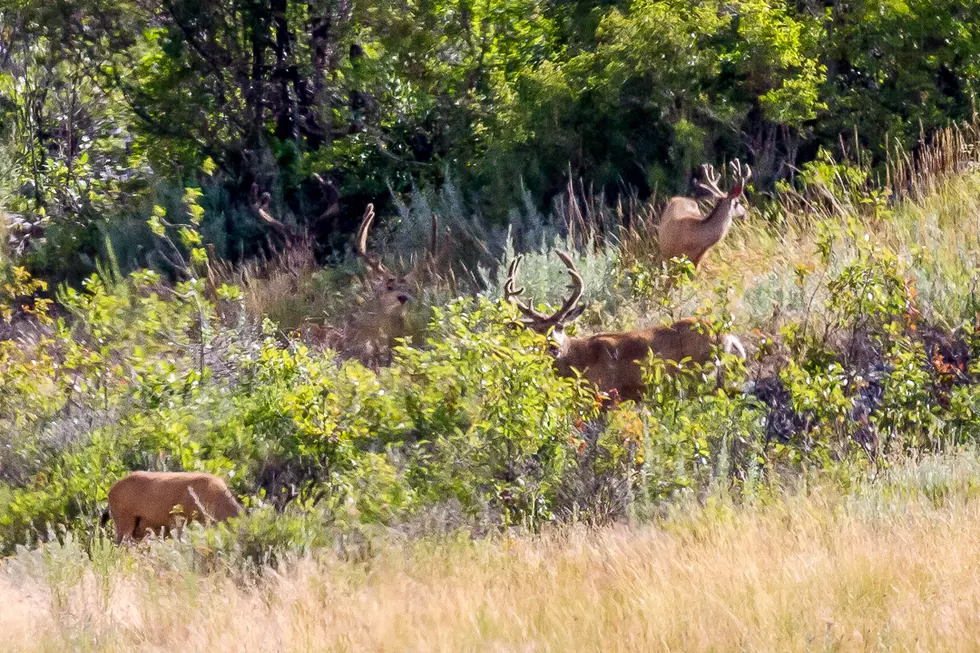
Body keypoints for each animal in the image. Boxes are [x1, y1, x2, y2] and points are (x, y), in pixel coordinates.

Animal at [504, 252, 746, 403]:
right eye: (537, 330)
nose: (553, 347)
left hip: (701, 374)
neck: (579, 360)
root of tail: (726, 336)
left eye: (561, 326)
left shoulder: (606, 393)